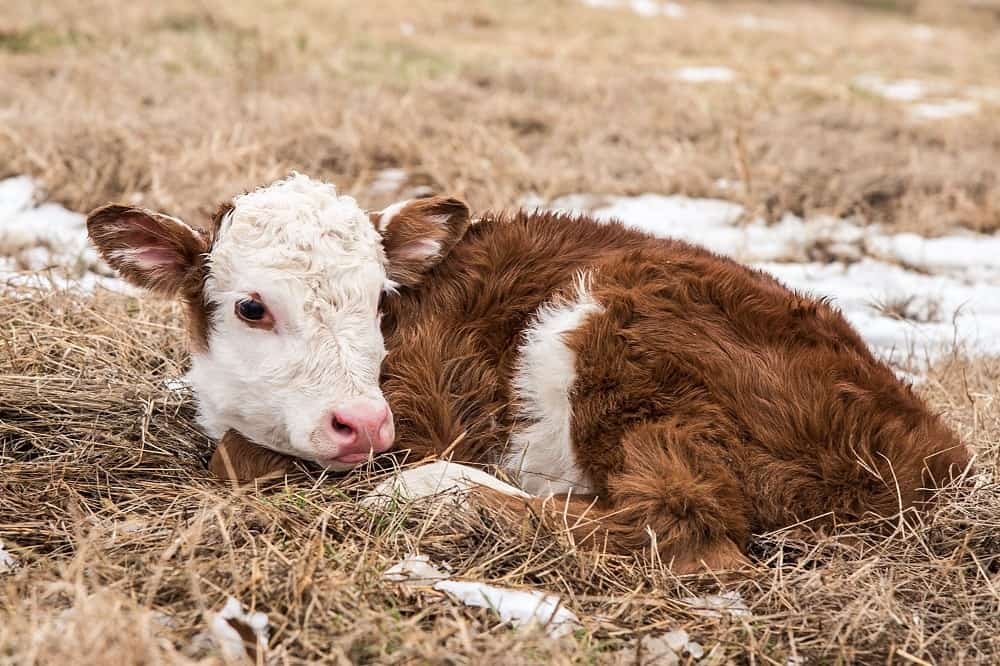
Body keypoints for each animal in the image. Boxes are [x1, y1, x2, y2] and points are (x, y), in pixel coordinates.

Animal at [87, 173, 971, 573]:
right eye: (251, 308)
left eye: (378, 301)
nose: (362, 423)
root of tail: (933, 447)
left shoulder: (430, 412)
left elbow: (237, 460)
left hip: (620, 334)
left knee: (681, 520)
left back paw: (441, 496)